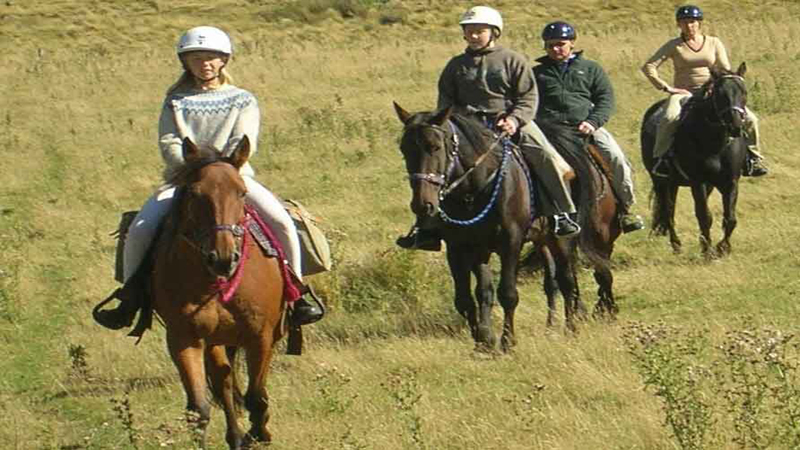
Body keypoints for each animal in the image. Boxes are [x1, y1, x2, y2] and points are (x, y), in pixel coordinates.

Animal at [152, 137, 290, 450]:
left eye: (242, 193)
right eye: (194, 193)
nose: (223, 258)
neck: (213, 284)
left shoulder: (260, 337)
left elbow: (256, 396)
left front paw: (260, 433)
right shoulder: (183, 338)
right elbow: (198, 410)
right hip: (214, 340)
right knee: (224, 380)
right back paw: (235, 436)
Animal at [394, 103, 612, 348]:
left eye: (435, 147)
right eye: (404, 149)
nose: (422, 205)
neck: (472, 190)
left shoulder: (510, 243)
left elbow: (507, 293)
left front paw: (507, 342)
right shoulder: (461, 248)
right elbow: (470, 298)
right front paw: (483, 341)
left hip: (561, 240)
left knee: (567, 281)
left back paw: (571, 329)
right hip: (540, 239)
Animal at [636, 62, 752, 256]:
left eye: (744, 91)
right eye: (720, 93)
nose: (736, 126)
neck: (715, 143)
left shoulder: (730, 182)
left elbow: (730, 218)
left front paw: (722, 248)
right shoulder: (698, 182)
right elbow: (704, 216)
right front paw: (707, 251)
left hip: (676, 183)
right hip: (660, 180)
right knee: (668, 210)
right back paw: (676, 245)